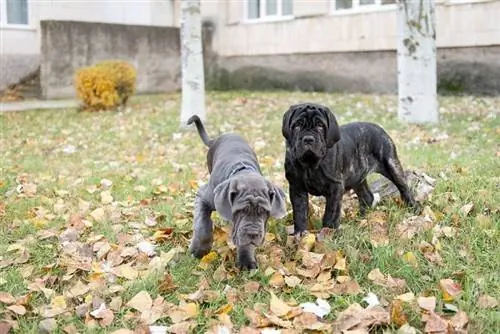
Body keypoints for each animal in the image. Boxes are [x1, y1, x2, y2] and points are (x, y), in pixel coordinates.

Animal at [186, 116, 288, 270]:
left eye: (264, 212)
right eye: (241, 210)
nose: (253, 234)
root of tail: (216, 139)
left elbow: (244, 242)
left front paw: (246, 260)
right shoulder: (203, 196)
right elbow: (203, 224)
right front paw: (199, 251)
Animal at [284, 103, 420, 236]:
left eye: (320, 125)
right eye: (297, 125)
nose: (308, 139)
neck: (310, 164)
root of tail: (379, 128)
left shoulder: (335, 187)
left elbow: (330, 213)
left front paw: (328, 233)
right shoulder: (296, 187)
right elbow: (299, 212)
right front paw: (300, 234)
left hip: (392, 165)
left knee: (404, 189)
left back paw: (414, 210)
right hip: (357, 177)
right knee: (367, 197)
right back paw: (360, 219)